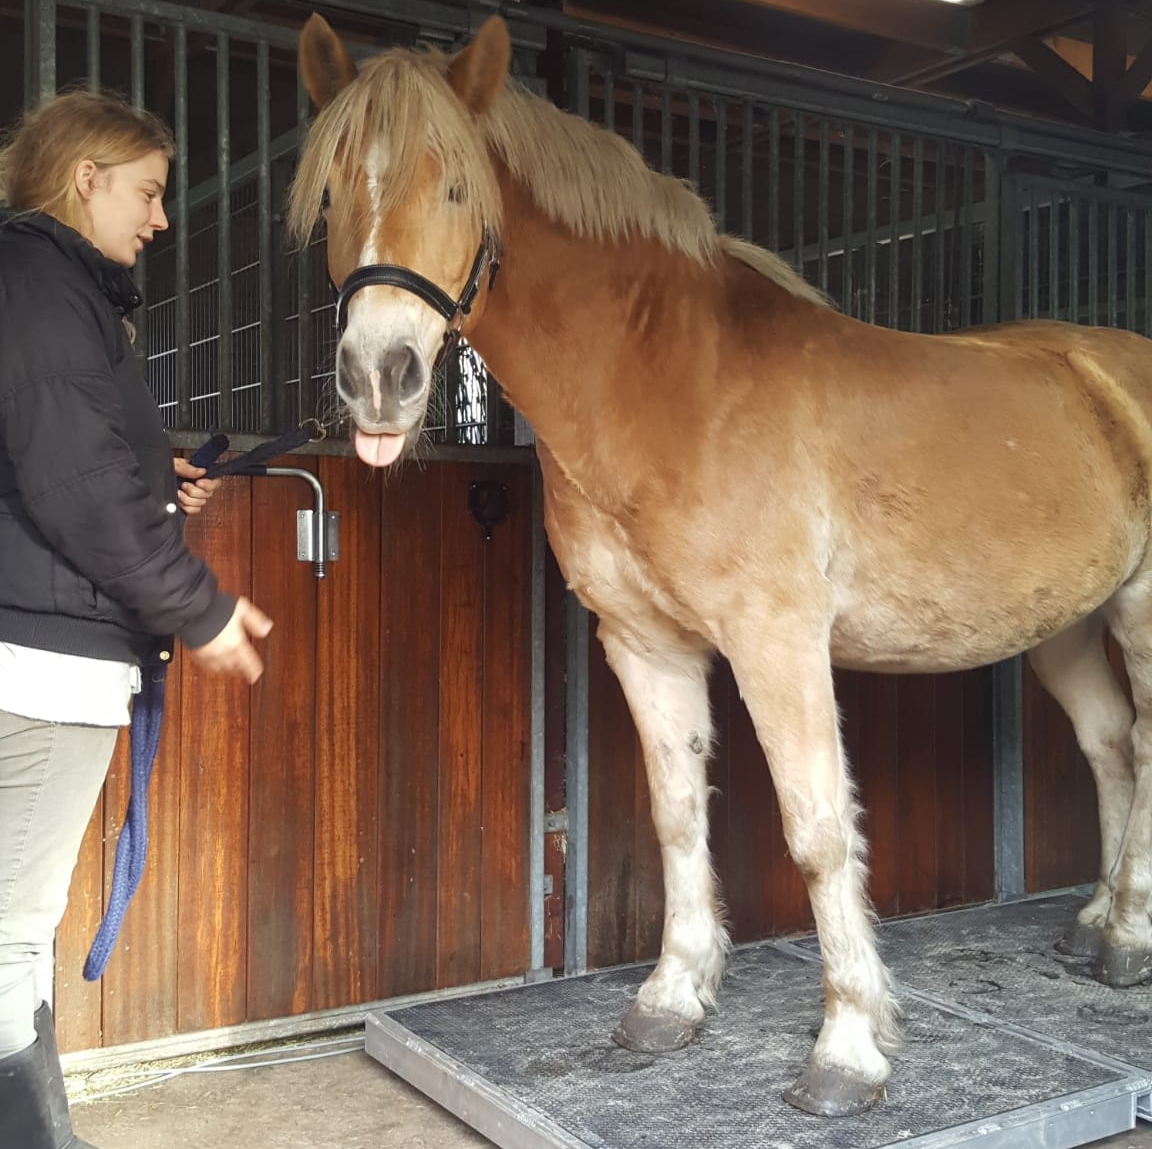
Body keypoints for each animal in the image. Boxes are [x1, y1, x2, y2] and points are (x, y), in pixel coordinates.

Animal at [291, 13, 1152, 1117]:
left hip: (1137, 610)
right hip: (1063, 624)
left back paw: (1126, 939)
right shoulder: (645, 645)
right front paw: (671, 1000)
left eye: (455, 190)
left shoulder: (776, 643)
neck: (665, 382)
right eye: (332, 195)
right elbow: (674, 816)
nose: (380, 380)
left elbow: (818, 829)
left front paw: (848, 1050)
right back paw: (1096, 922)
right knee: (1113, 746)